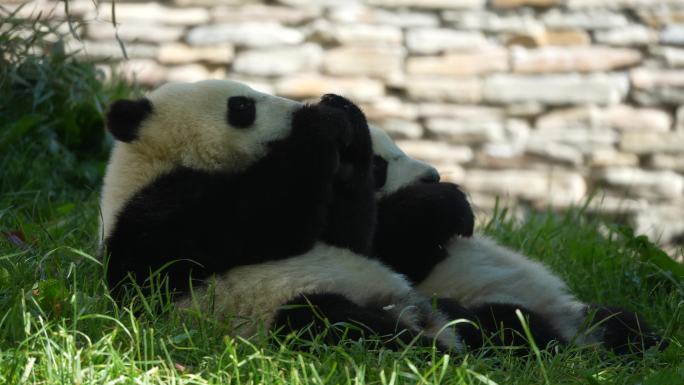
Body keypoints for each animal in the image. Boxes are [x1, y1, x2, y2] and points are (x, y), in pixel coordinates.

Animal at [100, 80, 460, 352]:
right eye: (242, 106)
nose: (295, 110)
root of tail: (414, 314)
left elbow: (351, 237)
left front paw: (345, 113)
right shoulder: (156, 215)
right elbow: (265, 221)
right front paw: (319, 121)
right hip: (280, 308)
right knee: (338, 324)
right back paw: (437, 351)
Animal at [368, 124, 668, 352]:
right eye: (378, 165)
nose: (432, 176)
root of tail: (577, 333)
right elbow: (405, 250)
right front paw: (448, 202)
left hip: (580, 311)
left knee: (617, 319)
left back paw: (646, 344)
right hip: (478, 304)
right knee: (510, 327)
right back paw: (568, 350)